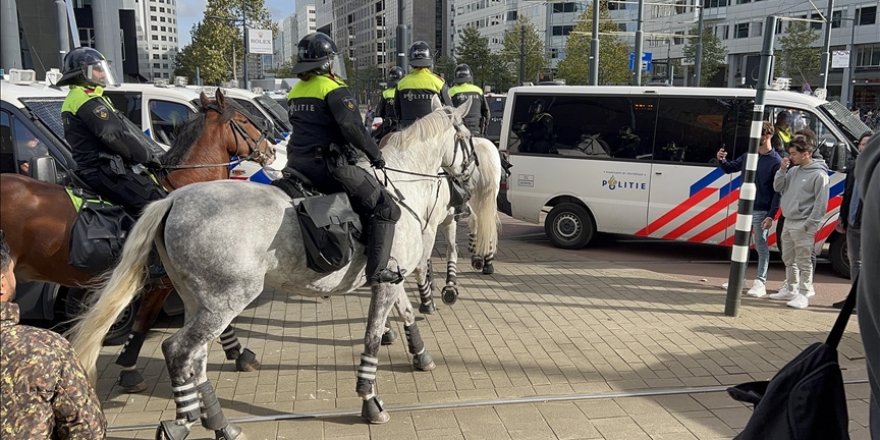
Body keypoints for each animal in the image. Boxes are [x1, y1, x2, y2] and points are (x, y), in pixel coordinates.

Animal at [0, 89, 276, 392]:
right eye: (244, 120)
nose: (272, 149)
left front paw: (239, 354)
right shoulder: (163, 284)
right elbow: (144, 322)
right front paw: (130, 368)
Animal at [70, 106, 474, 440]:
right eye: (469, 138)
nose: (468, 188)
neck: (401, 189)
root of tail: (173, 200)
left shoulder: (391, 277)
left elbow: (405, 313)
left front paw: (420, 354)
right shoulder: (387, 283)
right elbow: (373, 336)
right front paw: (369, 399)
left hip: (198, 301)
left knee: (194, 359)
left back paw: (217, 423)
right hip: (225, 301)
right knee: (180, 351)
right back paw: (186, 420)